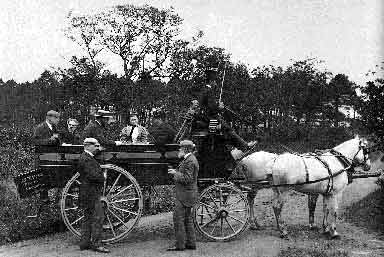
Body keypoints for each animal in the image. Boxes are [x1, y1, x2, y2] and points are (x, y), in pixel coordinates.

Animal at [232, 136, 370, 238]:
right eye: (367, 150)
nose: (368, 166)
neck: (336, 162)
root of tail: (275, 161)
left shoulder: (327, 193)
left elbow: (325, 209)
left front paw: (325, 228)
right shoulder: (336, 193)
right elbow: (334, 211)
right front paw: (334, 231)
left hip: (275, 189)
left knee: (266, 203)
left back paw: (261, 225)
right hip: (281, 189)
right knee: (274, 206)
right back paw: (282, 230)